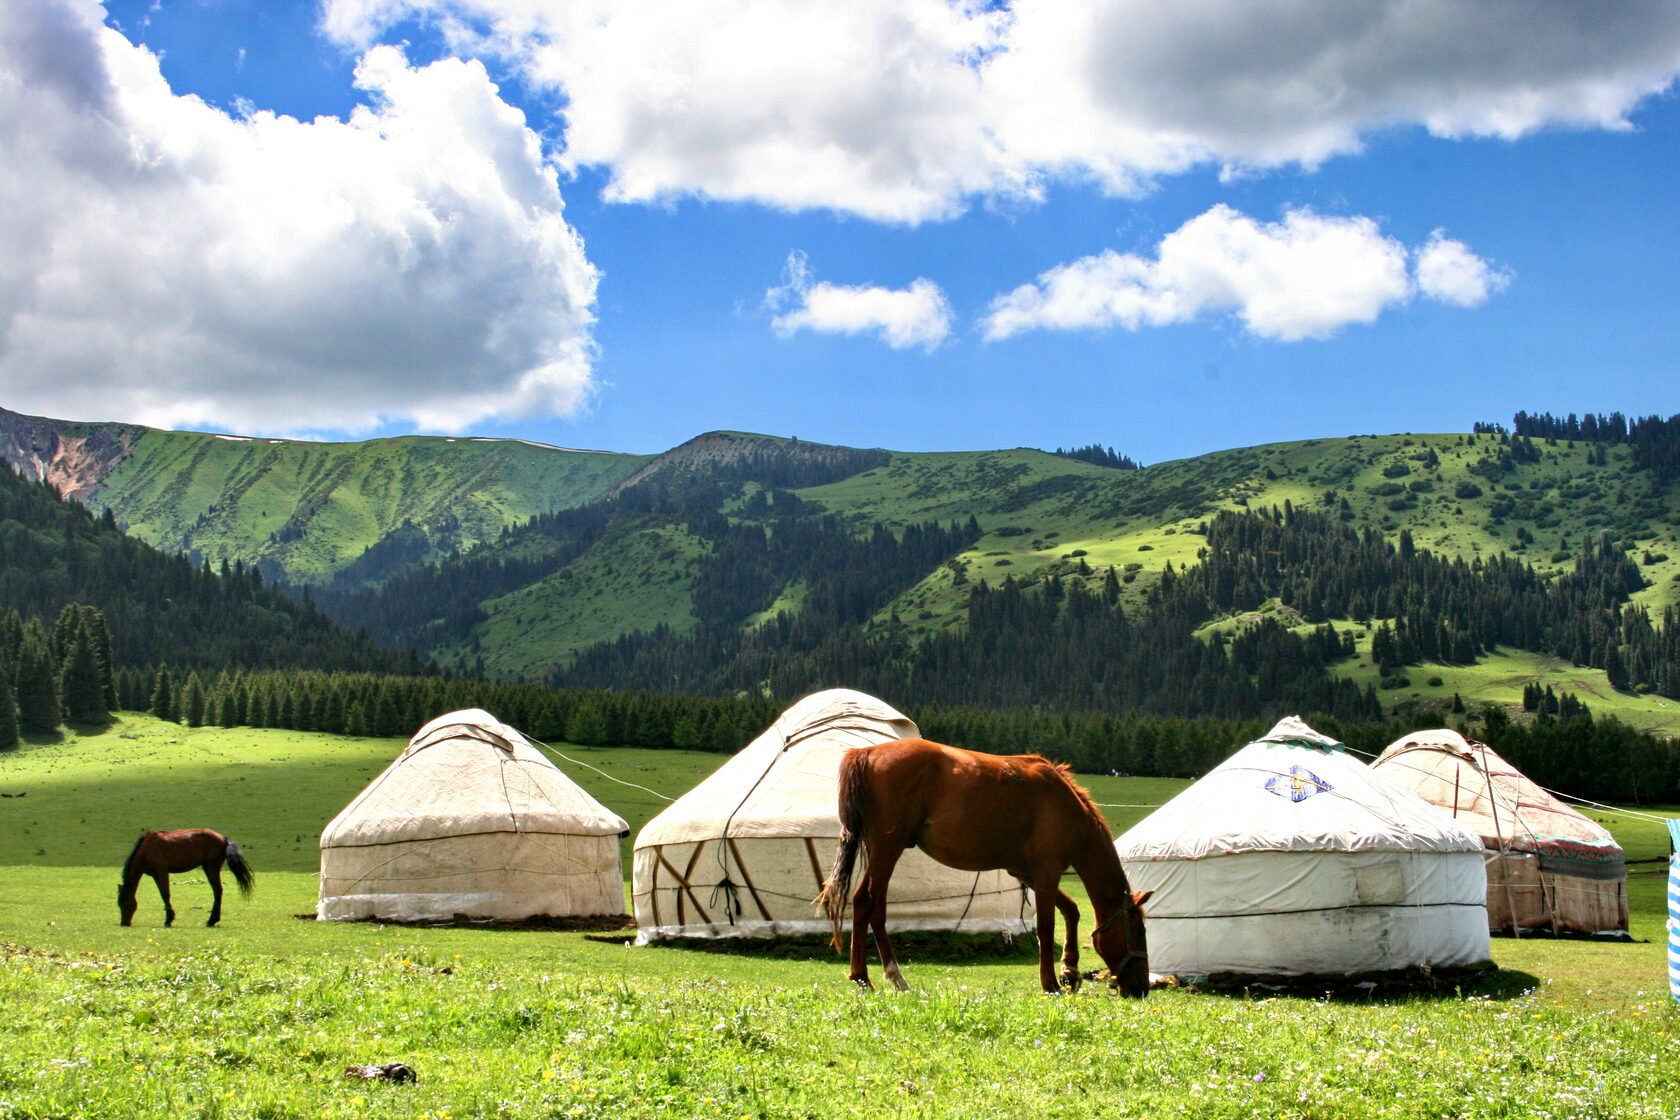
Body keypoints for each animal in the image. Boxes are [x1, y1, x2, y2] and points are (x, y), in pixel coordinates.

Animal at [120, 832, 253, 926]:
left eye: (123, 904)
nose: (123, 923)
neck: (148, 848)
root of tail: (223, 839)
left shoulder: (161, 872)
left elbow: (165, 894)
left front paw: (168, 920)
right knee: (218, 891)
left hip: (211, 867)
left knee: (217, 891)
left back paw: (211, 921)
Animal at [816, 738, 1155, 994]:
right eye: (1139, 931)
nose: (1140, 988)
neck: (1066, 807)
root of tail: (866, 753)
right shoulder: (1046, 870)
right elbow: (1047, 926)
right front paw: (1050, 983)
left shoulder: (1025, 872)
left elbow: (1071, 910)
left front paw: (1070, 969)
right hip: (888, 849)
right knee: (872, 904)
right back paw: (889, 975)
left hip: (878, 851)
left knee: (865, 903)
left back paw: (865, 977)